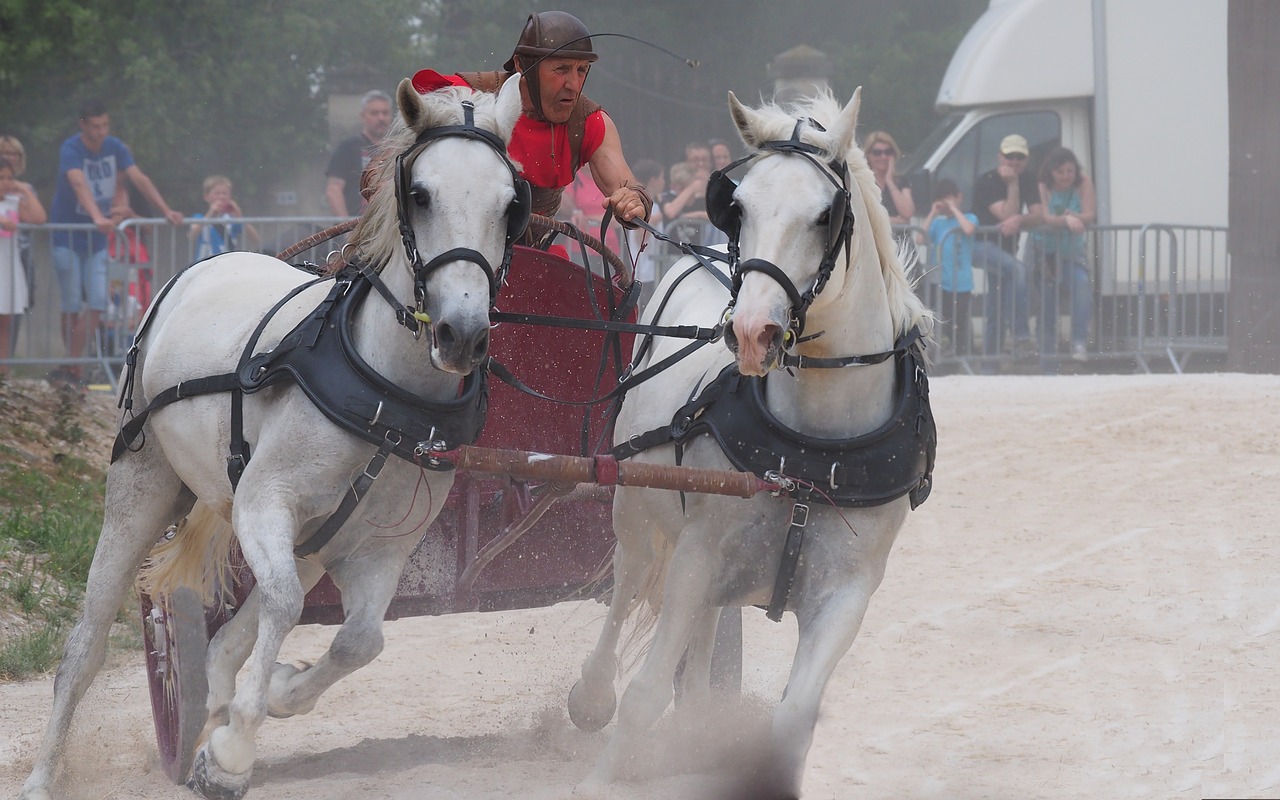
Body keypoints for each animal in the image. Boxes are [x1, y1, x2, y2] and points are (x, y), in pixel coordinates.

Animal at [21, 76, 529, 798]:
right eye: (421, 194)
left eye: (511, 204)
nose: (463, 335)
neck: (386, 400)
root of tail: (207, 264)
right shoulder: (265, 504)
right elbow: (286, 608)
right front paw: (234, 750)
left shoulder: (380, 550)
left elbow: (358, 641)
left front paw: (269, 700)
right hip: (142, 486)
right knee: (87, 643)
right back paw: (45, 773)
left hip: (313, 537)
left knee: (246, 627)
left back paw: (220, 699)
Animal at [576, 87, 936, 793]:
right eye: (736, 205)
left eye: (825, 216)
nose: (751, 331)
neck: (811, 456)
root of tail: (696, 257)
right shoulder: (695, 556)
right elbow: (646, 694)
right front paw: (600, 780)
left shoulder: (846, 594)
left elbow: (794, 718)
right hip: (637, 511)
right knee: (629, 584)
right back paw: (591, 697)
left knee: (705, 639)